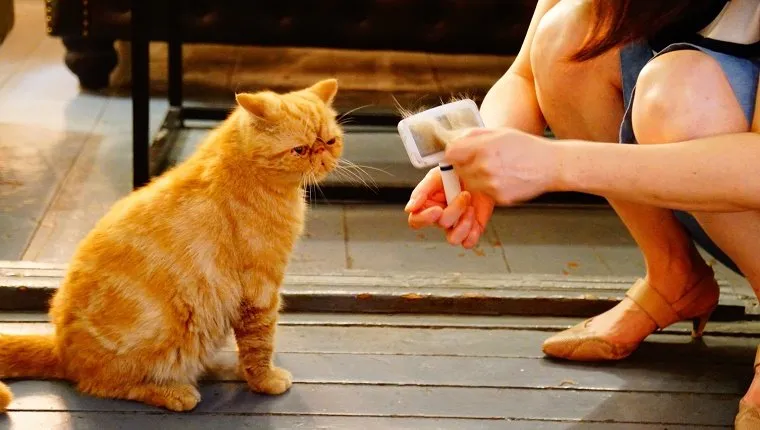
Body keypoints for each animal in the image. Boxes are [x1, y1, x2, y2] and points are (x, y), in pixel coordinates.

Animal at [0, 78, 342, 414]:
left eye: (330, 141)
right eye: (300, 149)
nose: (323, 156)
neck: (247, 170)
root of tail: (60, 348)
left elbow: (252, 344)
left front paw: (247, 370)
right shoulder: (260, 290)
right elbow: (260, 343)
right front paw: (265, 380)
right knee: (104, 385)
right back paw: (173, 393)